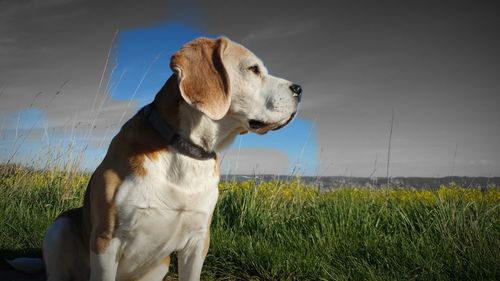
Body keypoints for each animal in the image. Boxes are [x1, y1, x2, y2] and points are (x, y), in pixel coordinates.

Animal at [15, 36, 302, 278]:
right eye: (253, 69)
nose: (299, 88)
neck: (185, 150)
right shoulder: (106, 241)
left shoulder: (198, 241)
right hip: (59, 228)